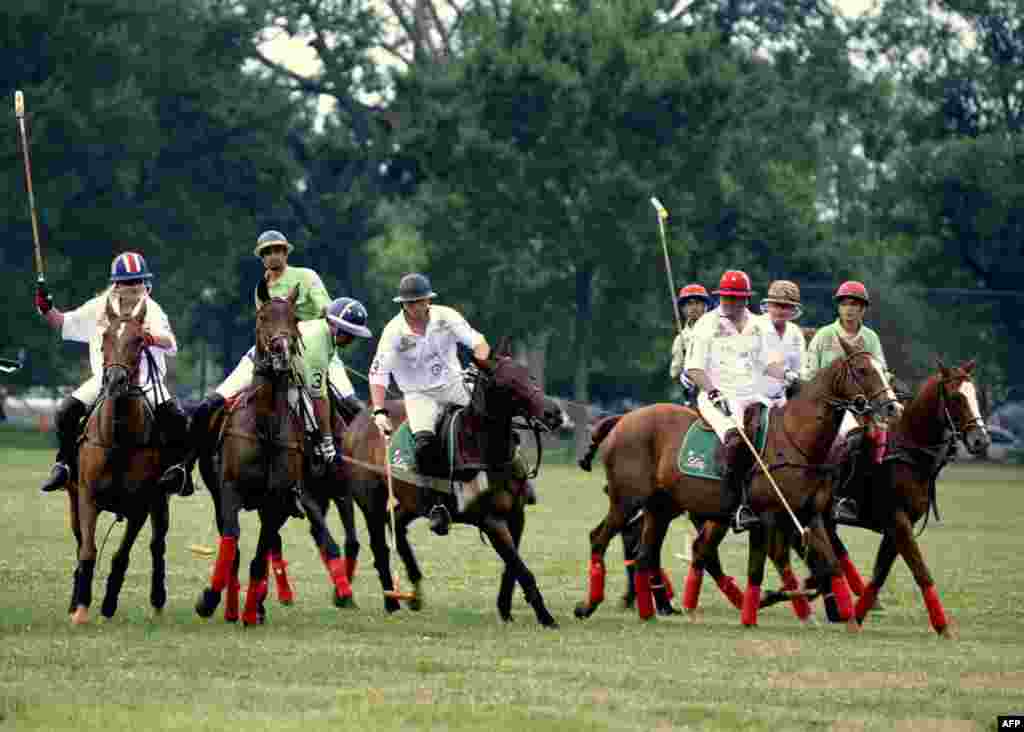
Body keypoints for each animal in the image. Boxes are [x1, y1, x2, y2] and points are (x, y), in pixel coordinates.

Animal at [69, 292, 172, 622]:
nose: (115, 380)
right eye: (105, 337)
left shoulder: (140, 506)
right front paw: (80, 607)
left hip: (161, 502)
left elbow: (120, 555)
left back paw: (158, 601)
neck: (118, 438)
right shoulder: (86, 496)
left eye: (140, 340)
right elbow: (87, 550)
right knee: (79, 542)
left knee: (157, 545)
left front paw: (108, 604)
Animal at [194, 282, 352, 626]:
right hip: (217, 493)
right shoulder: (229, 491)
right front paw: (210, 599)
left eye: (293, 318)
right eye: (263, 317)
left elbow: (261, 554)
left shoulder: (278, 500)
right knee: (233, 545)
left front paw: (252, 611)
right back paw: (229, 605)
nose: (281, 351)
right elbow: (232, 542)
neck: (264, 426)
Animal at [339, 339, 565, 626]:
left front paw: (505, 608)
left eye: (529, 375)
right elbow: (520, 567)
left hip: (413, 503)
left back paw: (415, 590)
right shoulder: (491, 520)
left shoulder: (516, 515)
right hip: (371, 502)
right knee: (380, 546)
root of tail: (358, 421)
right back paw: (392, 602)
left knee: (398, 525)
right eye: (507, 383)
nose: (553, 413)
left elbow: (511, 567)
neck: (485, 449)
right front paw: (545, 617)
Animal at [573, 337, 901, 622]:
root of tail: (622, 418)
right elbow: (761, 567)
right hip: (627, 500)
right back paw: (588, 605)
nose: (892, 407)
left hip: (661, 508)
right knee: (599, 538)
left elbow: (829, 566)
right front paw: (759, 607)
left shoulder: (811, 515)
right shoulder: (768, 516)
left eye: (885, 371)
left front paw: (840, 615)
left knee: (645, 555)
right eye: (863, 370)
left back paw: (649, 612)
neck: (797, 440)